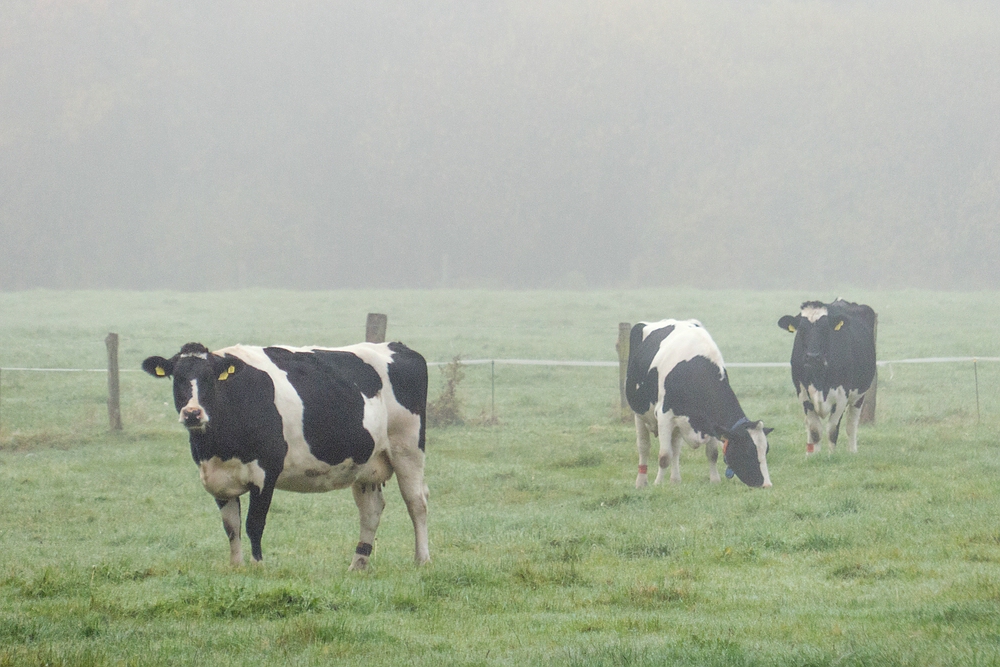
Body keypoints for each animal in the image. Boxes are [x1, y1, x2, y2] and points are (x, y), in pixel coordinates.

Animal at [139, 342, 428, 572]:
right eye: (177, 378)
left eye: (211, 379)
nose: (192, 413)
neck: (217, 446)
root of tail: (398, 346)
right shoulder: (218, 479)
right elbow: (231, 527)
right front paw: (236, 566)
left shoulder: (265, 472)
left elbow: (254, 524)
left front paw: (257, 566)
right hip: (365, 463)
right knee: (371, 510)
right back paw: (358, 565)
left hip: (408, 448)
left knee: (417, 503)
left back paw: (422, 560)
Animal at [624, 320, 772, 488]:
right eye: (747, 451)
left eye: (766, 450)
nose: (767, 484)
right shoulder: (664, 415)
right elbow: (664, 456)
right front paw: (658, 484)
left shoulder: (711, 422)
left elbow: (712, 454)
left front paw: (715, 481)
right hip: (639, 413)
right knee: (644, 447)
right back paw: (641, 482)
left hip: (677, 424)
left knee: (675, 448)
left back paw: (675, 480)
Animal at [776, 302, 880, 454]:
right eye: (801, 329)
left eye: (825, 329)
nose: (813, 356)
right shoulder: (803, 395)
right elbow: (815, 430)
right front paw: (814, 456)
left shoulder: (842, 396)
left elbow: (832, 430)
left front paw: (831, 456)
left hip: (859, 396)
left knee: (851, 425)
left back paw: (853, 452)